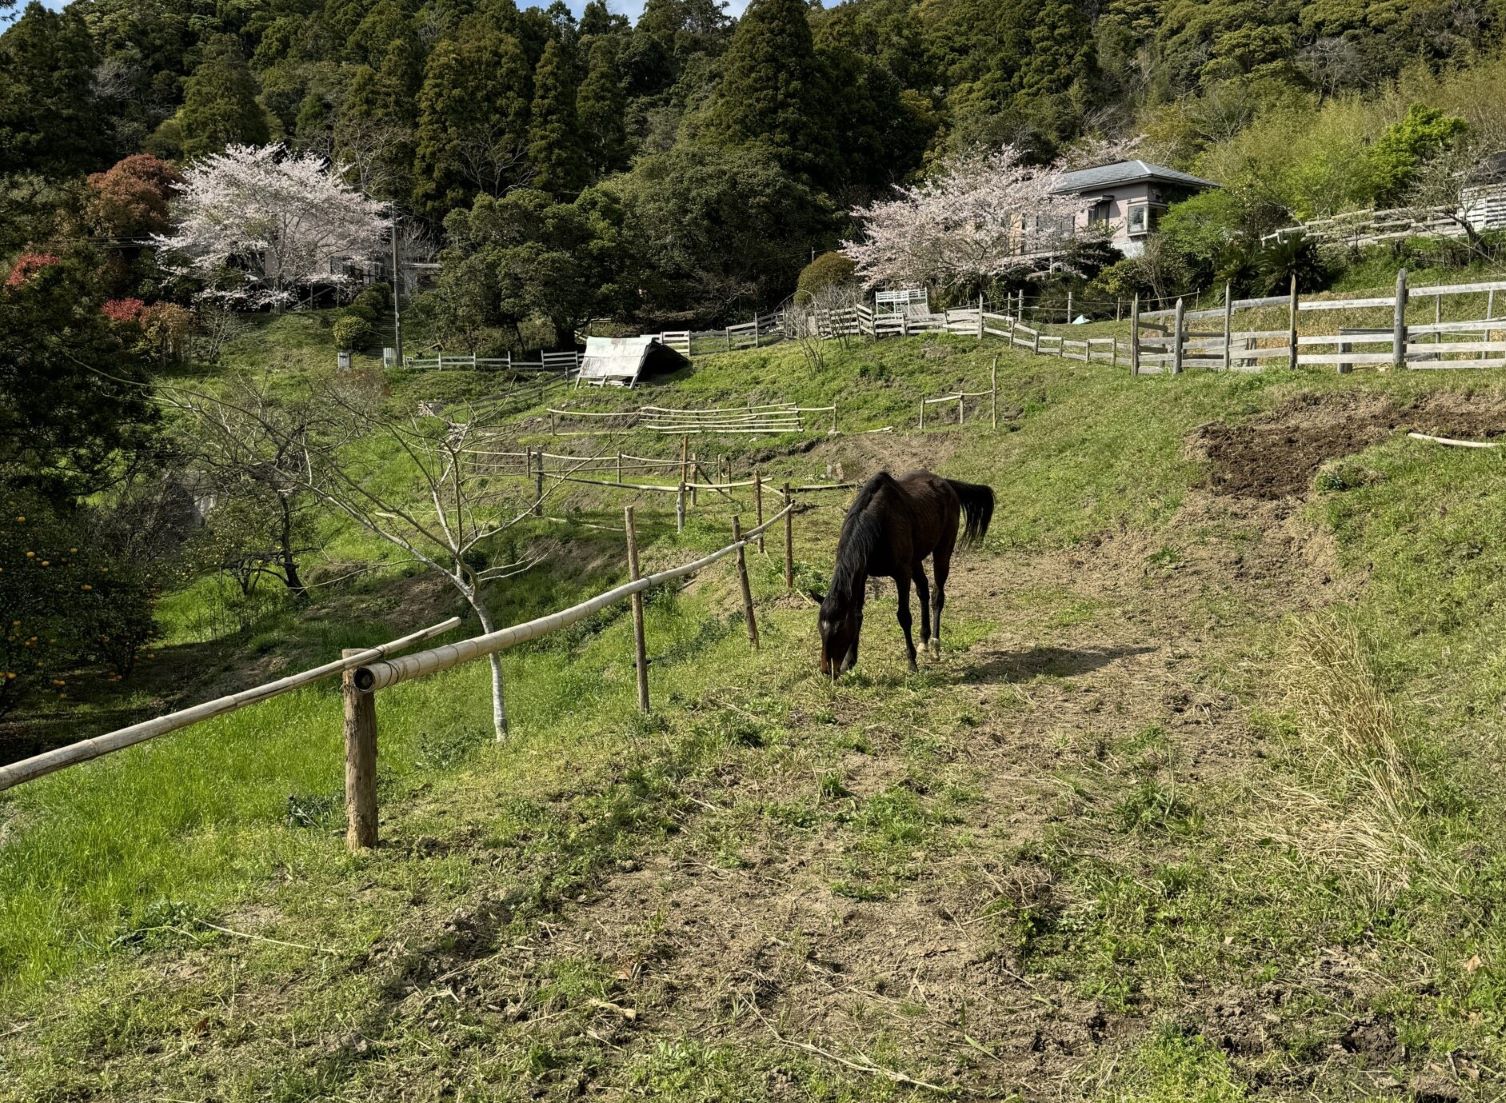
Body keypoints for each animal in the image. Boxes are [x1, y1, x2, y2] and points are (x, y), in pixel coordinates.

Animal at [819, 470, 993, 675]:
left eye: (838, 630)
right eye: (820, 630)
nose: (826, 670)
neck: (878, 525)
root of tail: (945, 483)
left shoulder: (902, 574)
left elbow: (904, 616)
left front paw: (912, 662)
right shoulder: (861, 573)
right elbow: (857, 613)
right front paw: (850, 660)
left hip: (943, 550)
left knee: (937, 595)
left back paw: (935, 646)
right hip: (915, 560)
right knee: (923, 590)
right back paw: (924, 640)